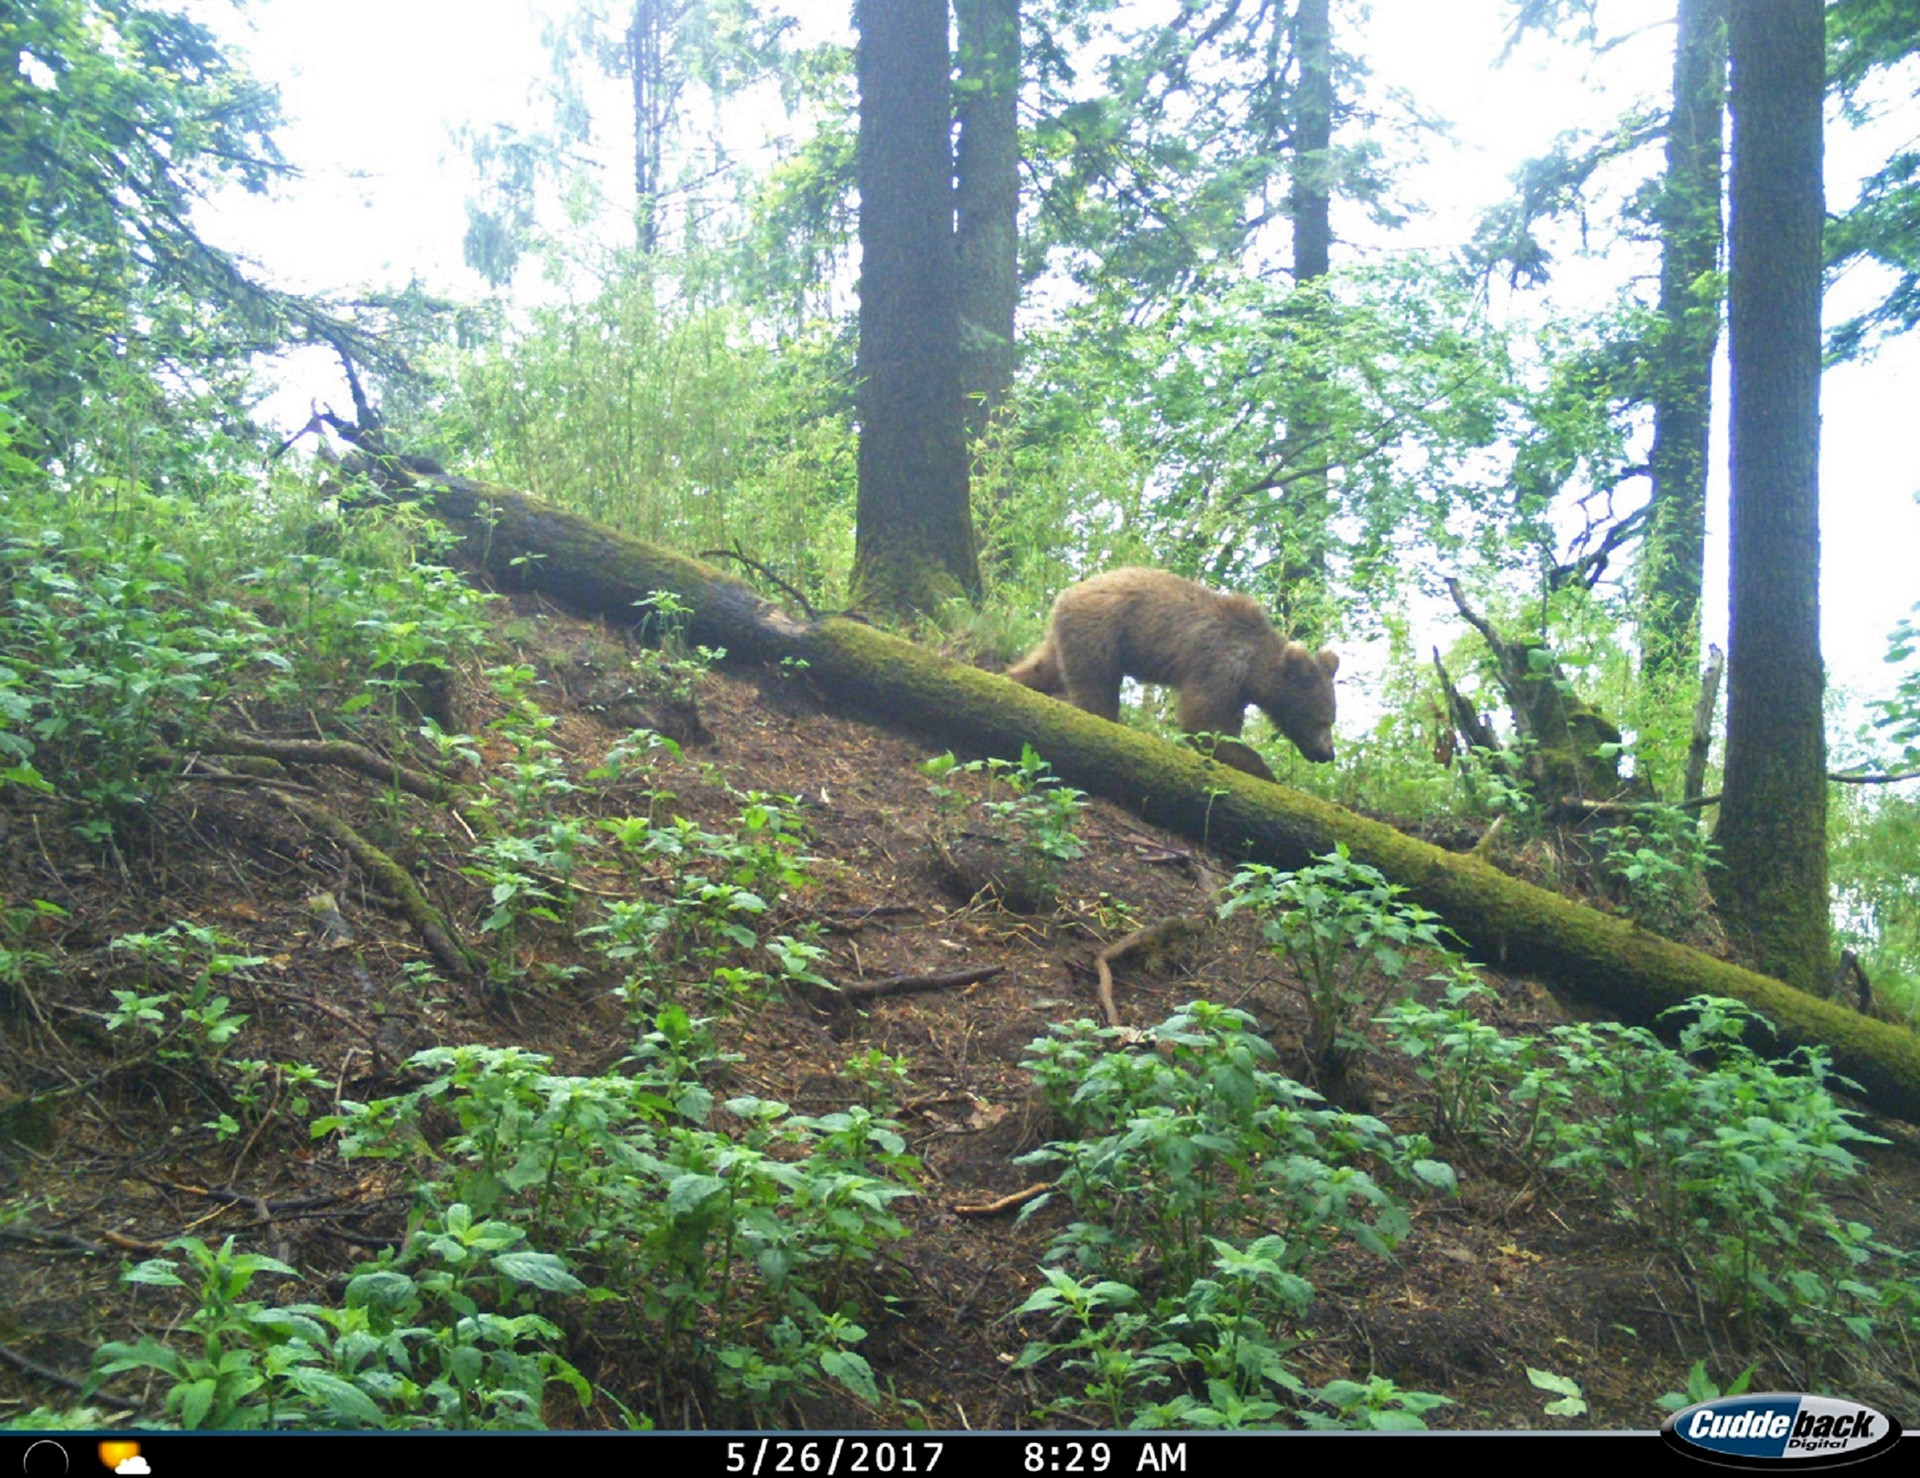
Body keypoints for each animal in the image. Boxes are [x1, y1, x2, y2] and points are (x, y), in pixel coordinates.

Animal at [1006, 567, 1339, 783]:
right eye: (1321, 719)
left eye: (1330, 719)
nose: (1328, 753)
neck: (1253, 669)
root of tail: (1069, 592)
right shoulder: (1218, 666)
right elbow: (1203, 722)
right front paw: (1262, 769)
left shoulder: (1236, 689)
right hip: (1103, 631)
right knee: (1095, 689)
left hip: (1068, 634)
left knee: (1045, 666)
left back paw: (1015, 678)